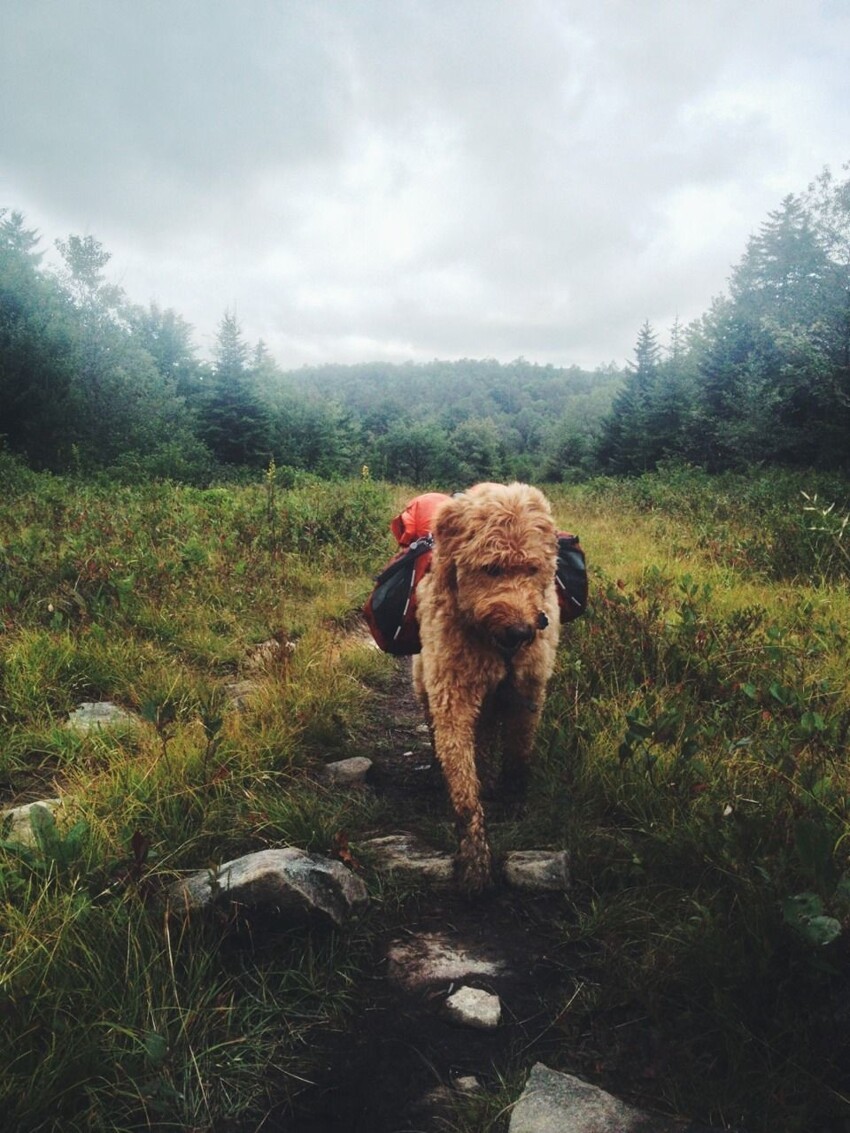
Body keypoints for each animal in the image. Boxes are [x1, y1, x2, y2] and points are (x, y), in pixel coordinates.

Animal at [414, 478, 562, 892]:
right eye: (491, 568)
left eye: (532, 568)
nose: (521, 631)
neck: (494, 644)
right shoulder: (451, 690)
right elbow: (462, 776)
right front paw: (475, 856)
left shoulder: (528, 688)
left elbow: (518, 751)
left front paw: (512, 797)